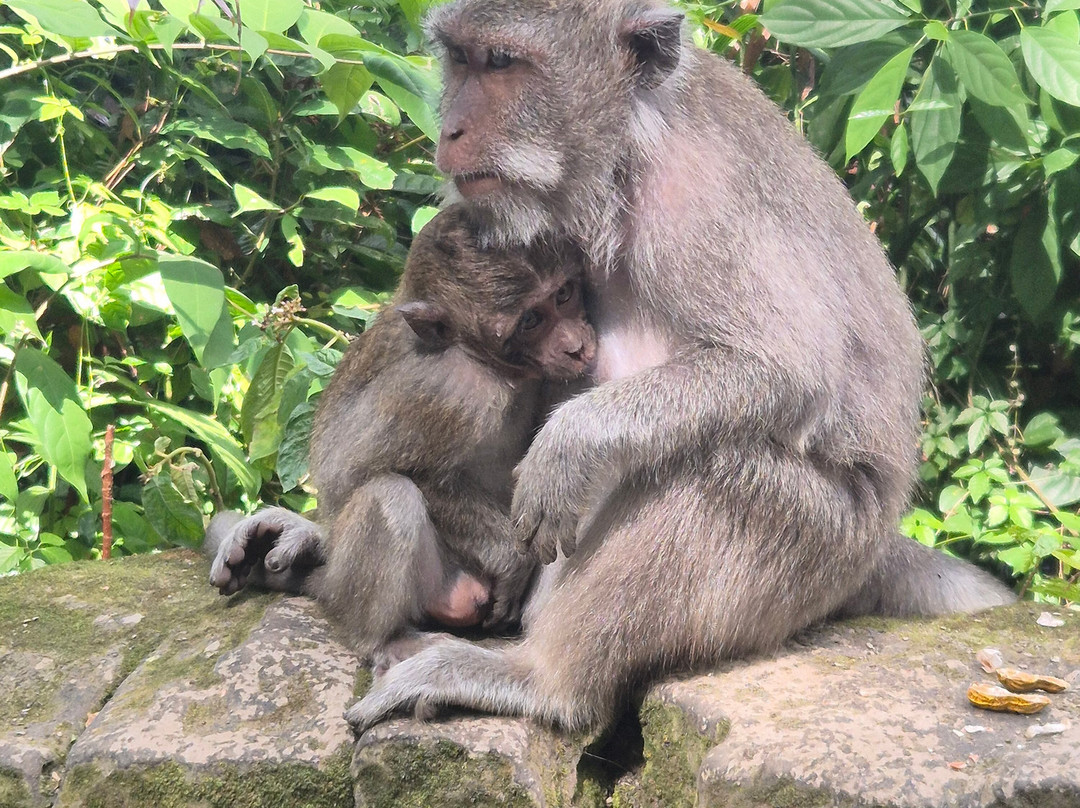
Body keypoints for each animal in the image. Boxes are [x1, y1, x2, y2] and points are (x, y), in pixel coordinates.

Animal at [206, 204, 596, 661]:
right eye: (531, 320)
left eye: (564, 294)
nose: (576, 347)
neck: (481, 360)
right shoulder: (445, 393)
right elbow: (375, 472)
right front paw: (511, 558)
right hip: (397, 582)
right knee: (389, 495)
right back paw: (383, 639)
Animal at [341, 0, 1016, 734]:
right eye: (460, 59)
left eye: (500, 63)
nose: (451, 129)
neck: (628, 154)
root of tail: (877, 545)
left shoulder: (699, 199)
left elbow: (788, 368)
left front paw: (569, 446)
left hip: (818, 554)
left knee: (708, 464)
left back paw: (546, 682)